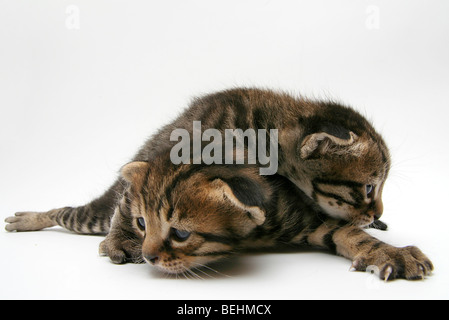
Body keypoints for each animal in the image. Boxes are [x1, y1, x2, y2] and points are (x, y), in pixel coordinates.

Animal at [3, 88, 430, 280]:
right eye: (369, 188)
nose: (376, 211)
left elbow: (348, 234)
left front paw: (388, 250)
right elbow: (133, 200)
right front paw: (121, 238)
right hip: (93, 211)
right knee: (73, 212)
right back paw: (30, 219)